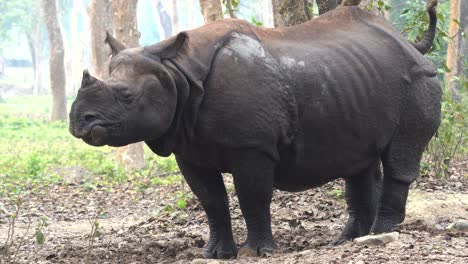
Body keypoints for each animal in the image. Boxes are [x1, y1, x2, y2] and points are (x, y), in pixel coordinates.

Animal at [69, 3, 442, 260]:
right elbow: (211, 200)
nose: (79, 122)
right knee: (359, 161)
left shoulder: (251, 146)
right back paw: (347, 241)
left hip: (418, 79)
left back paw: (381, 234)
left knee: (399, 155)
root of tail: (409, 44)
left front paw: (257, 252)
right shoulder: (188, 147)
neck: (177, 72)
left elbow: (252, 195)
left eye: (126, 96)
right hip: (356, 79)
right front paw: (215, 255)